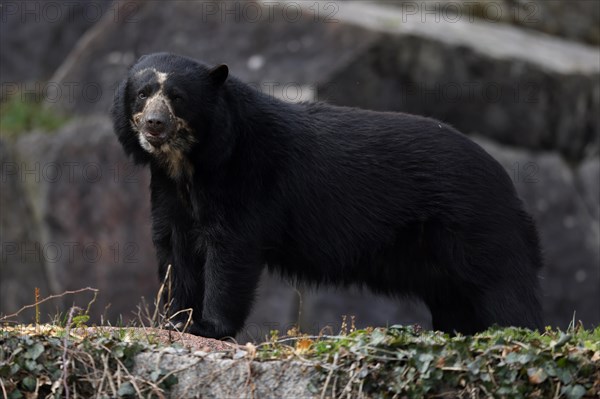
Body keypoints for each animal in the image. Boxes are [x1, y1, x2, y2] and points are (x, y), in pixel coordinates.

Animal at [111, 51, 544, 336]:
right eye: (142, 94)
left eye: (178, 97)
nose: (154, 124)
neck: (189, 163)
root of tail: (511, 188)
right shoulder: (168, 191)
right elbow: (174, 250)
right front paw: (175, 319)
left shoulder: (245, 177)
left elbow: (230, 249)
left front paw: (208, 326)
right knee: (457, 301)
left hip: (474, 228)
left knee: (505, 291)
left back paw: (518, 334)